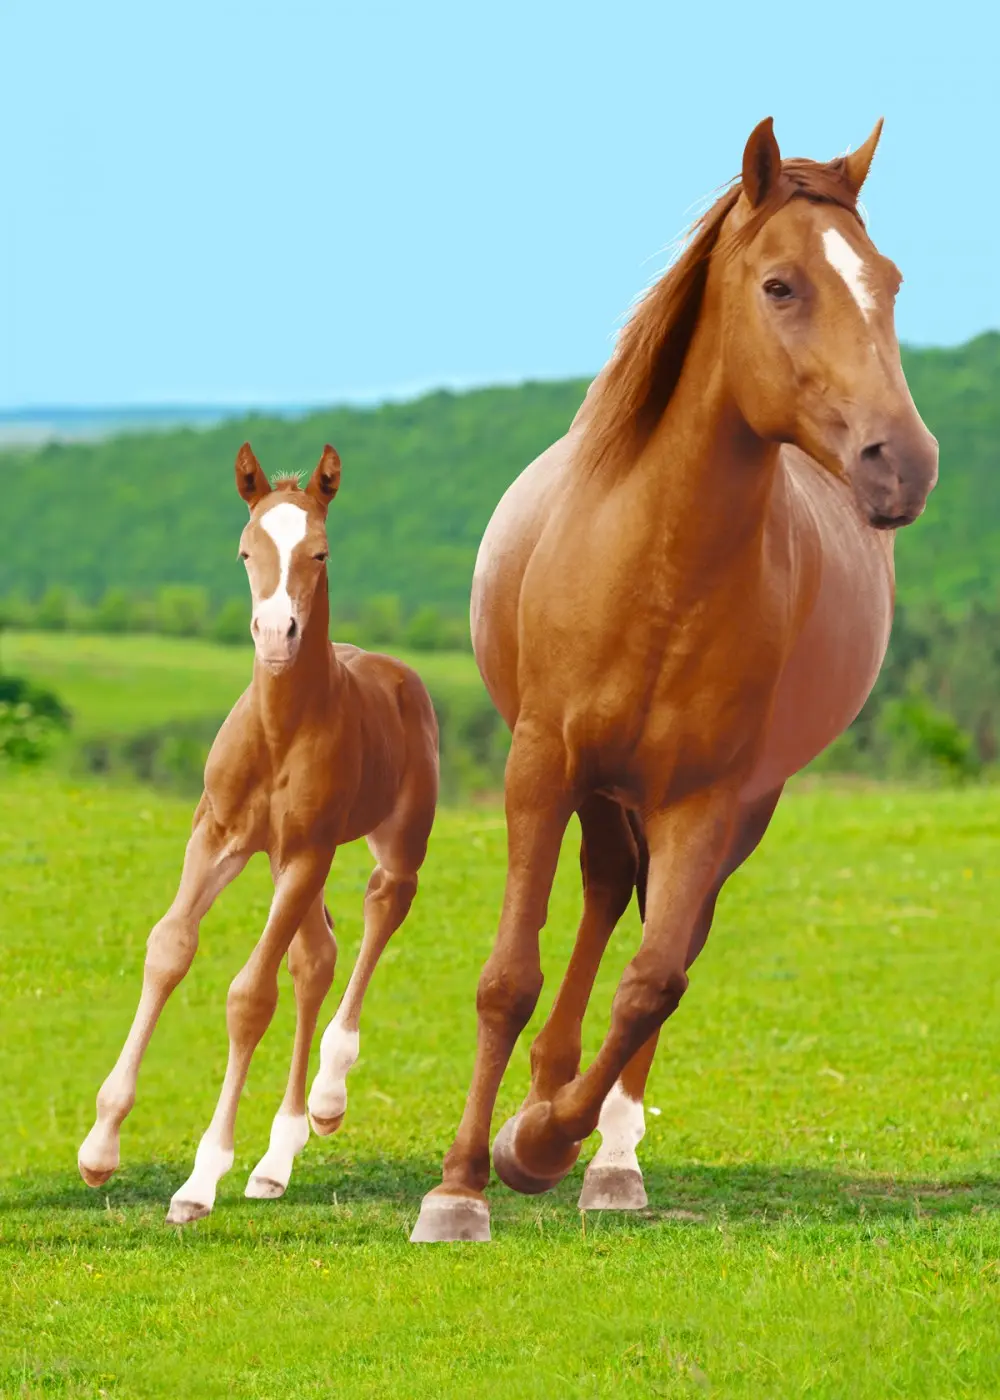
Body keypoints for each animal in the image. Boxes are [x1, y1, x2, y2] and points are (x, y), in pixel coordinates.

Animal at [79, 444, 439, 1223]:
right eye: (246, 550)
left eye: (320, 551)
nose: (277, 635)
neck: (280, 731)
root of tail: (397, 674)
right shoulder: (217, 837)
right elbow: (168, 949)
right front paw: (99, 1147)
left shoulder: (306, 850)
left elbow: (249, 997)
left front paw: (200, 1178)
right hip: (277, 861)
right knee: (316, 959)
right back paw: (277, 1159)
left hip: (386, 843)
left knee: (379, 910)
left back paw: (327, 1098)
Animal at [411, 118, 938, 1243]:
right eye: (781, 285)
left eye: (888, 282)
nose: (900, 463)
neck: (656, 565)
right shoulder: (540, 767)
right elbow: (508, 975)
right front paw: (461, 1183)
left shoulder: (705, 798)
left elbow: (654, 979)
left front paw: (543, 1145)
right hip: (599, 790)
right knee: (607, 890)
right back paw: (540, 1095)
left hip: (727, 807)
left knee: (663, 934)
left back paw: (601, 1152)